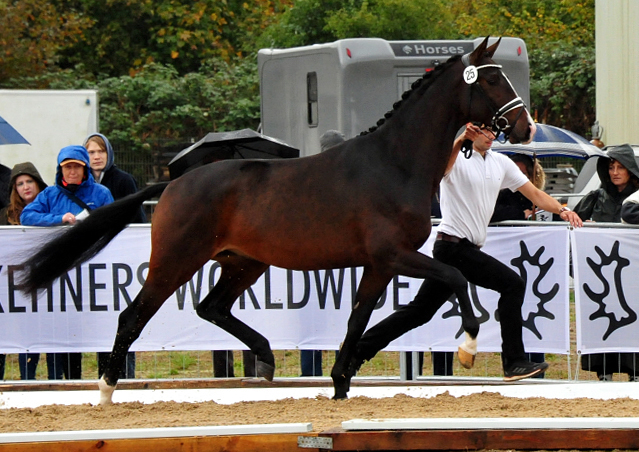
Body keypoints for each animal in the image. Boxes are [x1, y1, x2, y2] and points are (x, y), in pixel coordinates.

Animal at [18, 36, 536, 402]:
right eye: (491, 81)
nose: (526, 126)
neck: (393, 163)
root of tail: (173, 184)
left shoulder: (380, 264)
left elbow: (358, 318)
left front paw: (341, 382)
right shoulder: (395, 254)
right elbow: (455, 277)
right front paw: (468, 346)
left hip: (244, 263)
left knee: (211, 307)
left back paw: (265, 358)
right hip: (177, 260)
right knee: (134, 314)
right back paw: (106, 390)